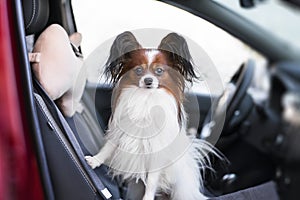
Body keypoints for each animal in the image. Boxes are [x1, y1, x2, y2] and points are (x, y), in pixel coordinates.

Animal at [85, 31, 217, 200]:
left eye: (159, 71)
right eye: (138, 71)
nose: (148, 80)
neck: (145, 100)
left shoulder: (157, 152)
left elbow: (152, 181)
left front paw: (147, 197)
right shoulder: (121, 131)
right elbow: (108, 148)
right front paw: (95, 161)